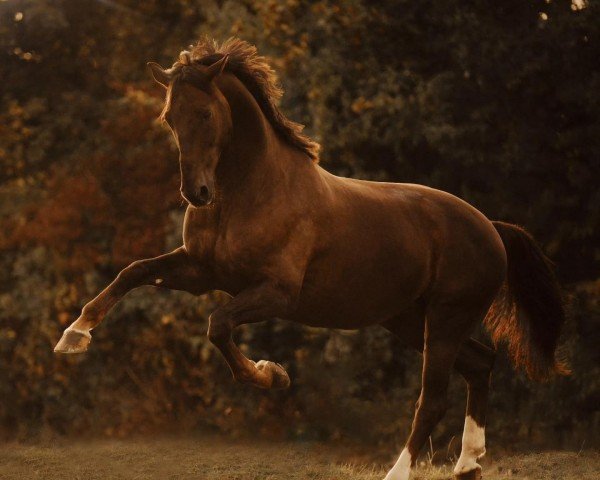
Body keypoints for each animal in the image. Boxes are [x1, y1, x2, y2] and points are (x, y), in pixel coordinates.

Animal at [52, 38, 568, 480]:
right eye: (169, 118)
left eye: (205, 112)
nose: (195, 193)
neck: (249, 191)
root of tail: (491, 228)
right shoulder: (201, 272)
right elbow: (133, 272)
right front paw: (74, 336)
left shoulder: (276, 294)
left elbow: (218, 325)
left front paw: (272, 376)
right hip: (409, 319)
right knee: (480, 364)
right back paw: (468, 464)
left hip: (445, 318)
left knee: (433, 398)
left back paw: (402, 471)